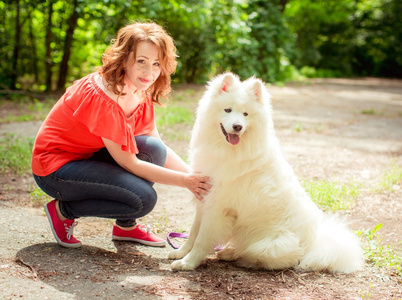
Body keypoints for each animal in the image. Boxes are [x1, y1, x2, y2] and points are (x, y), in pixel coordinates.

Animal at [168, 72, 362, 272]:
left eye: (245, 114)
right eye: (227, 110)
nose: (237, 126)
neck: (229, 150)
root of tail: (314, 245)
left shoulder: (218, 208)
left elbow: (202, 239)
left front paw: (188, 263)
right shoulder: (203, 199)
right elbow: (193, 232)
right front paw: (181, 252)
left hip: (268, 245)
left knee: (258, 255)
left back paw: (232, 254)